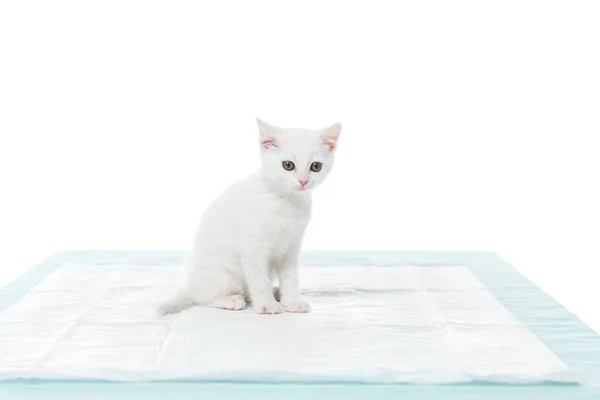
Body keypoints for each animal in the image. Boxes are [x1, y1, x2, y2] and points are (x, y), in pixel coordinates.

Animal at [157, 119, 340, 316]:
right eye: (288, 165)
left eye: (316, 166)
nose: (303, 181)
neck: (285, 200)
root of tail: (189, 283)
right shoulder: (252, 247)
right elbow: (259, 279)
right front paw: (267, 305)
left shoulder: (291, 247)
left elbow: (290, 278)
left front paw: (291, 301)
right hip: (225, 275)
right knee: (201, 297)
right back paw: (231, 300)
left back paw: (276, 292)